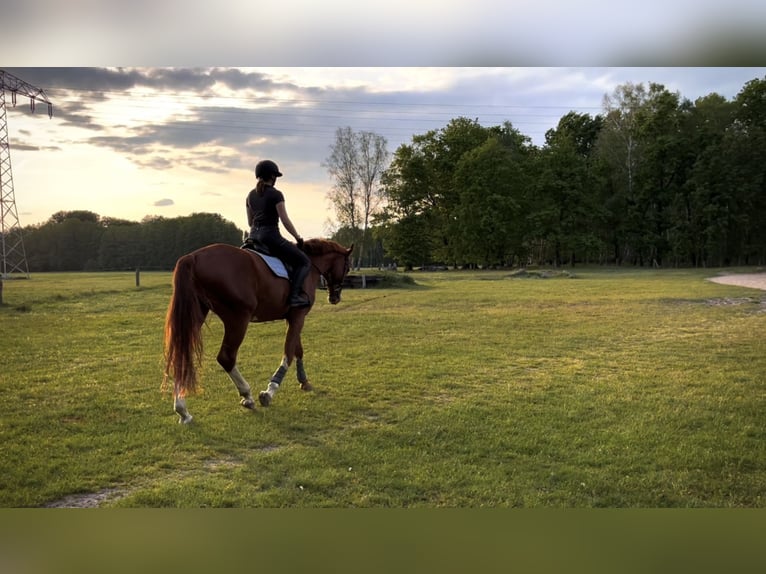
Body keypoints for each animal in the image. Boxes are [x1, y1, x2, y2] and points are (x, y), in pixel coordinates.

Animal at [163, 238, 353, 423]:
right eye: (347, 267)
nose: (335, 297)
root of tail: (193, 257)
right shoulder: (299, 316)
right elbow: (288, 353)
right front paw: (270, 391)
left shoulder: (293, 317)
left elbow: (297, 349)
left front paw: (304, 381)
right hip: (238, 318)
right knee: (226, 357)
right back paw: (247, 395)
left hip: (197, 313)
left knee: (181, 355)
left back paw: (182, 410)